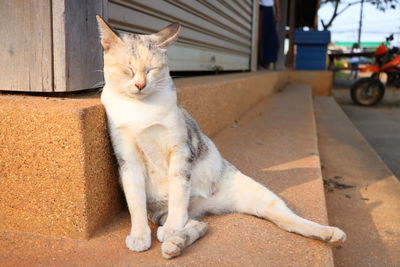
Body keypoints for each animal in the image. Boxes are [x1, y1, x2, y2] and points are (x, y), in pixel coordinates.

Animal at [95, 15, 346, 260]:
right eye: (127, 69)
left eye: (152, 69)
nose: (140, 84)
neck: (141, 109)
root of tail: (206, 203)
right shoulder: (128, 159)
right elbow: (135, 201)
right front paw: (139, 235)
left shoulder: (180, 151)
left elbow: (178, 191)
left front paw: (173, 227)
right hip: (165, 211)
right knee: (198, 225)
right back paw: (174, 244)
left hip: (260, 195)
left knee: (289, 219)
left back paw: (330, 234)